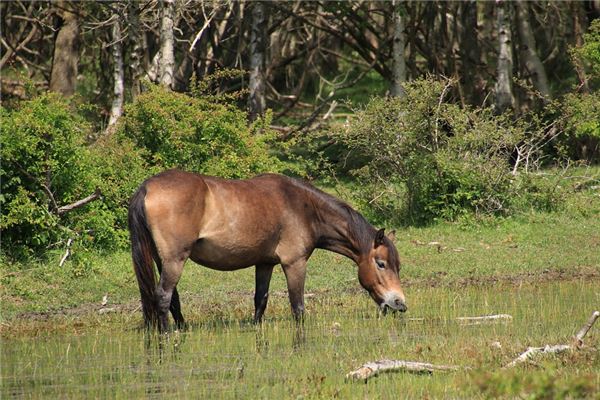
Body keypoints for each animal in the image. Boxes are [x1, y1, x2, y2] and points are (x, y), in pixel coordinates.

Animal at [128, 169, 406, 332]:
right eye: (381, 263)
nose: (400, 304)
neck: (303, 208)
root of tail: (147, 187)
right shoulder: (294, 263)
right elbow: (298, 307)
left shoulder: (265, 263)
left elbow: (260, 301)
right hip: (175, 260)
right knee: (163, 295)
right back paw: (167, 335)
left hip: (163, 260)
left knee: (171, 299)